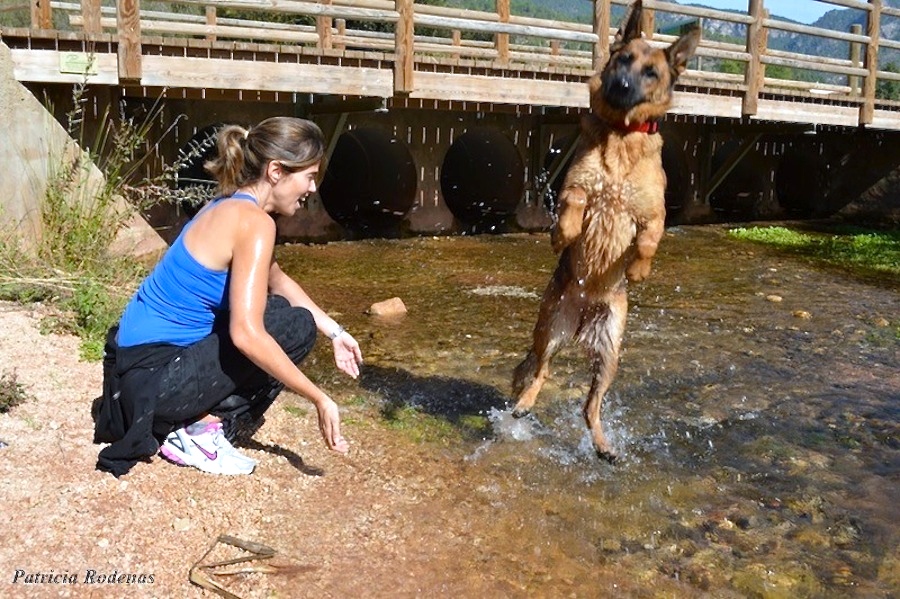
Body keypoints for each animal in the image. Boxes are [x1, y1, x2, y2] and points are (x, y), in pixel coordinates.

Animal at [510, 0, 700, 462]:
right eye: (622, 59)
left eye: (652, 72)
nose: (622, 83)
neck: (622, 134)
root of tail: (582, 323)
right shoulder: (576, 187)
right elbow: (576, 203)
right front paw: (562, 235)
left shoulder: (653, 213)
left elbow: (649, 238)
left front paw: (638, 270)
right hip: (549, 329)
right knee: (540, 372)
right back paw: (524, 404)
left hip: (610, 351)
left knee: (590, 404)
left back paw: (602, 444)